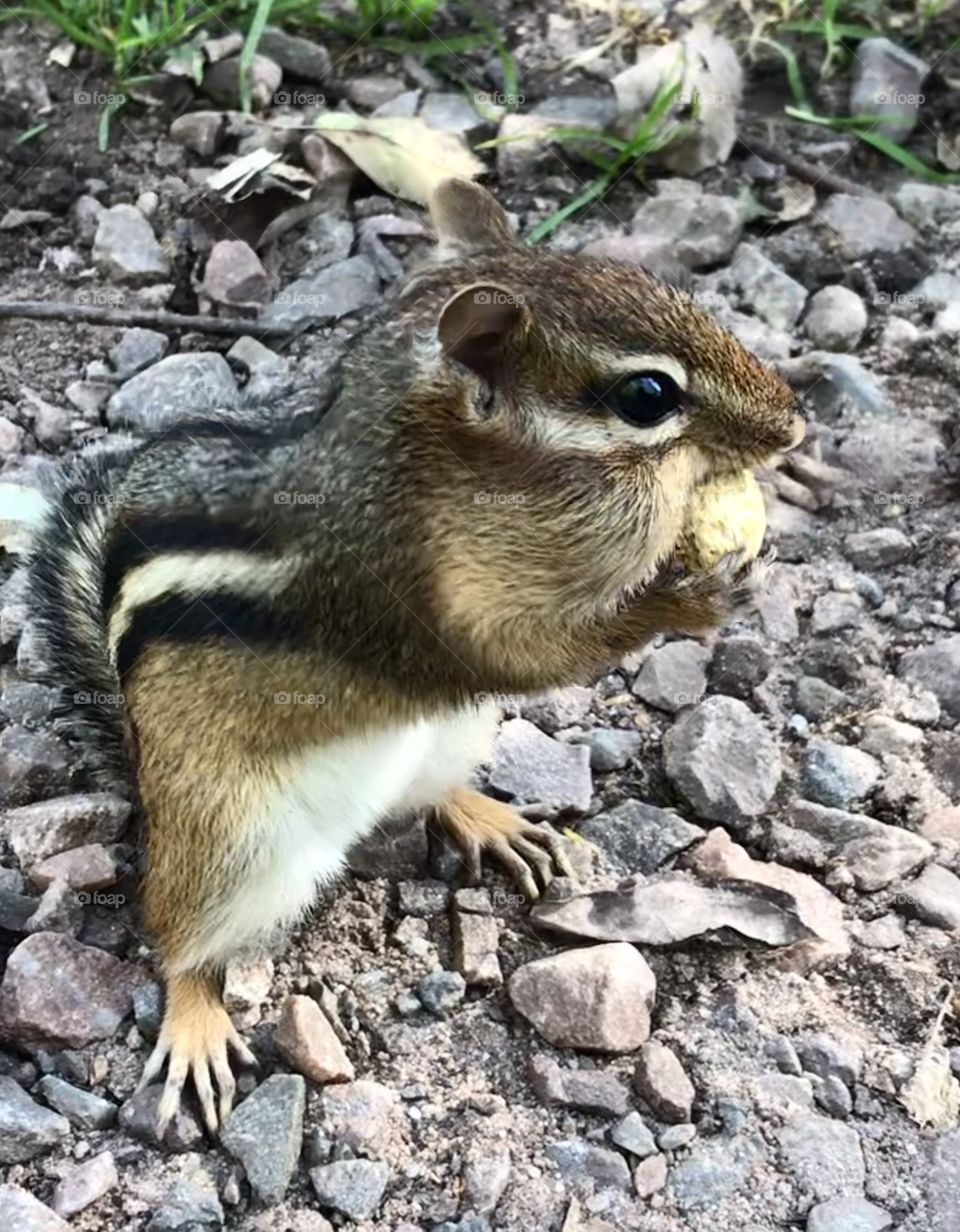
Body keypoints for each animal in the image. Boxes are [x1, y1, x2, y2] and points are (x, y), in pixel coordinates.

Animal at [26, 178, 805, 1138]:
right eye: (649, 394)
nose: (793, 426)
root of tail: (142, 776)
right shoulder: (410, 603)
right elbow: (528, 655)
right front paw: (689, 596)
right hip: (226, 842)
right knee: (173, 934)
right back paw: (195, 1018)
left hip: (452, 737)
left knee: (423, 797)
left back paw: (488, 818)